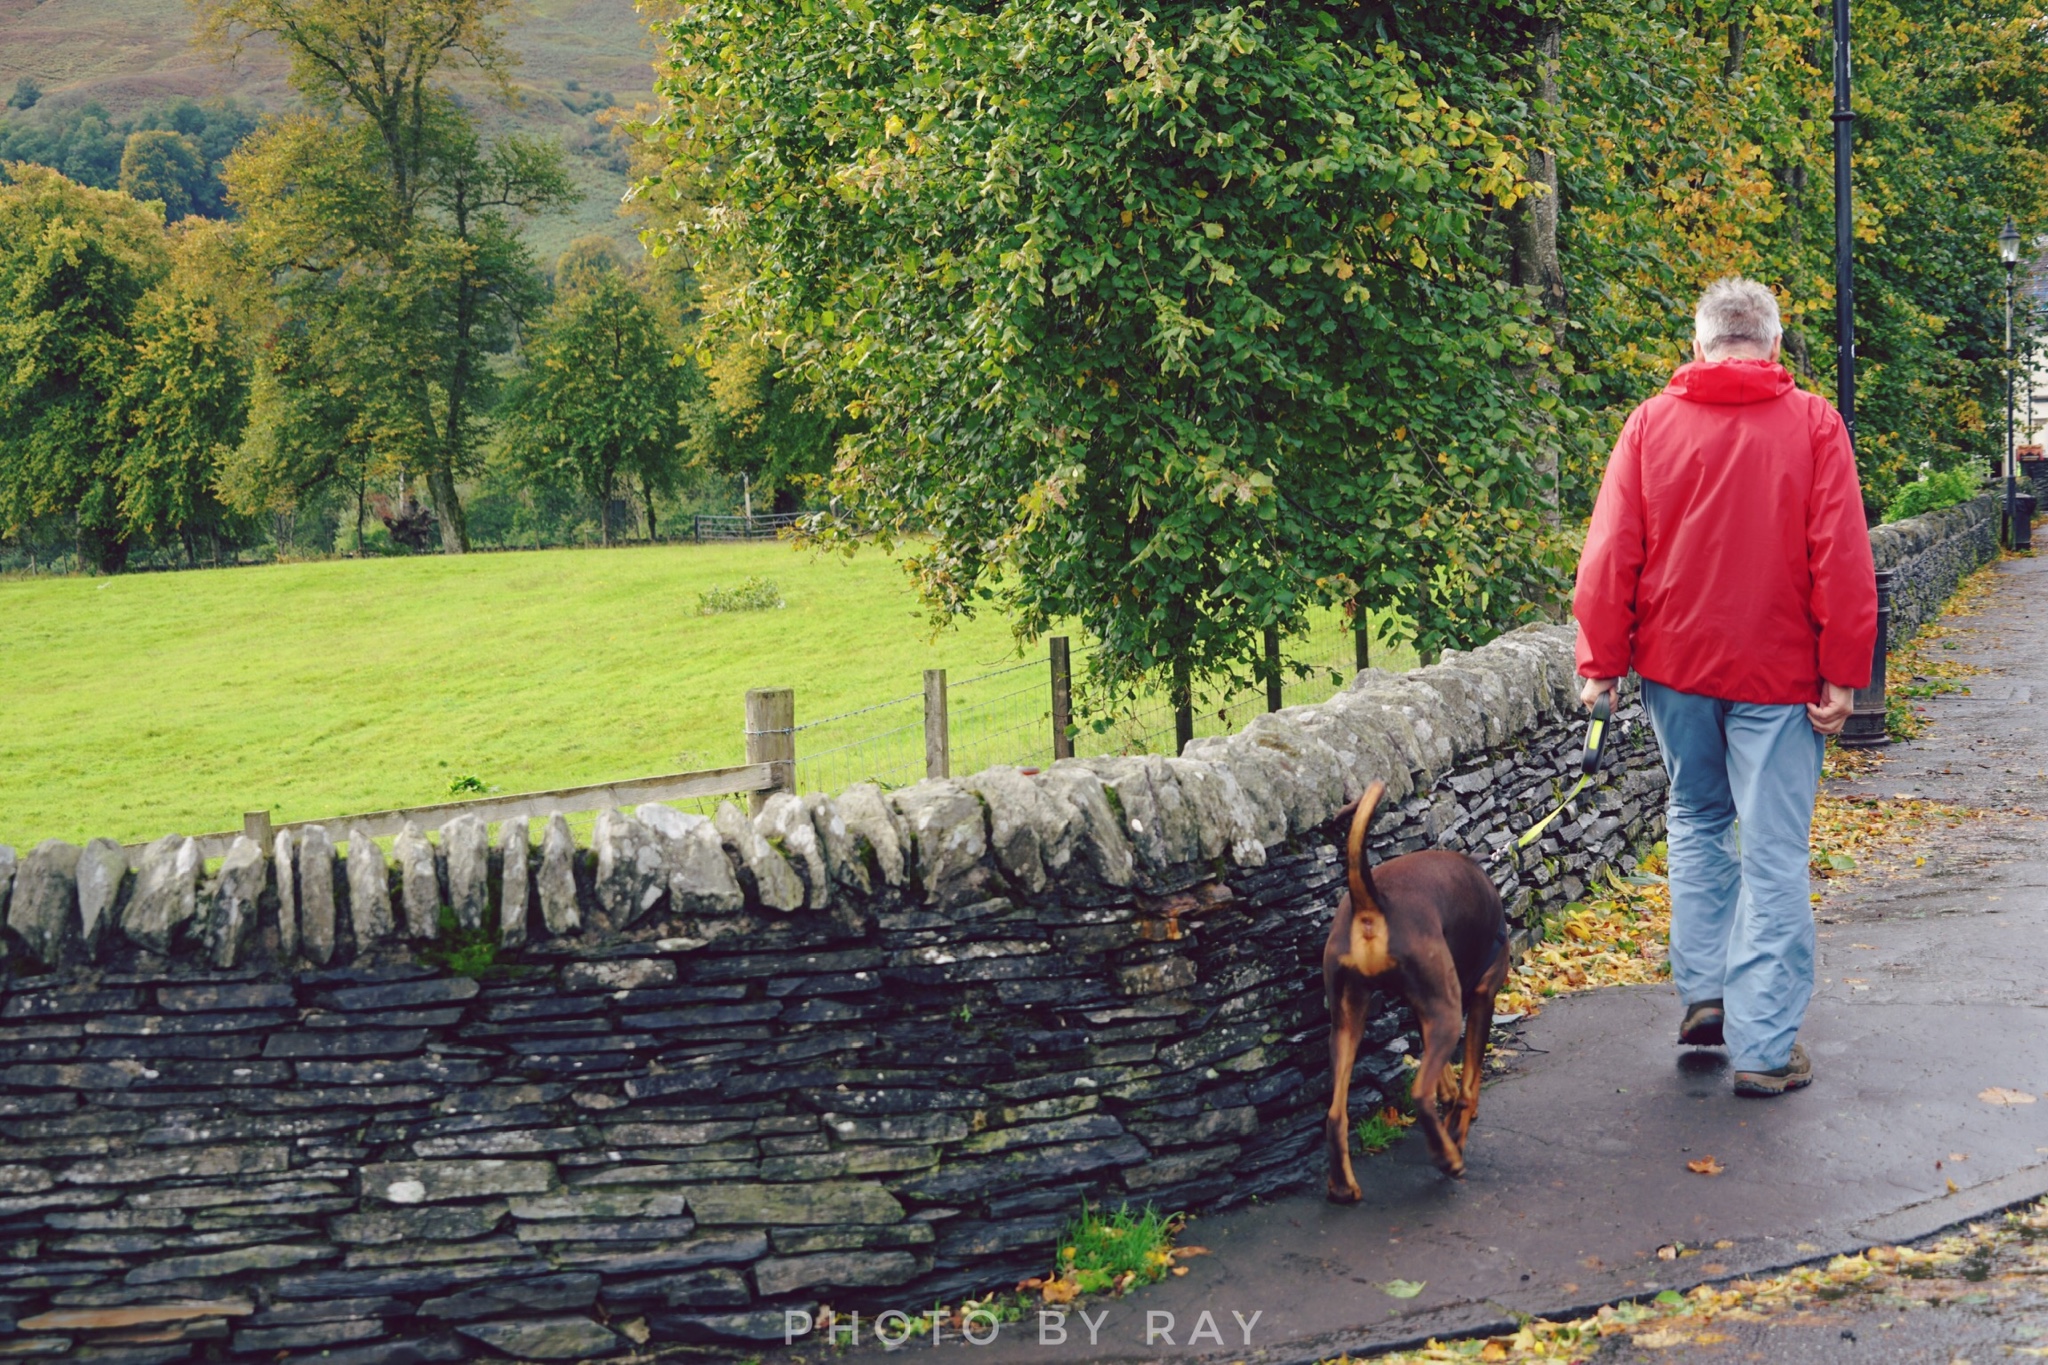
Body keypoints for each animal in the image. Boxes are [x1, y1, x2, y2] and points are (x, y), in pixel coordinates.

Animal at [1318, 777, 1515, 1195]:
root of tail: (1372, 901)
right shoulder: (1481, 997)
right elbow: (1470, 1084)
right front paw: (1458, 1126)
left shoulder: (1424, 1003)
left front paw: (1449, 1097)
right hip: (1446, 1013)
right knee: (1419, 1094)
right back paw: (1447, 1157)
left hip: (1346, 1021)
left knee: (1335, 1113)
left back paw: (1342, 1186)